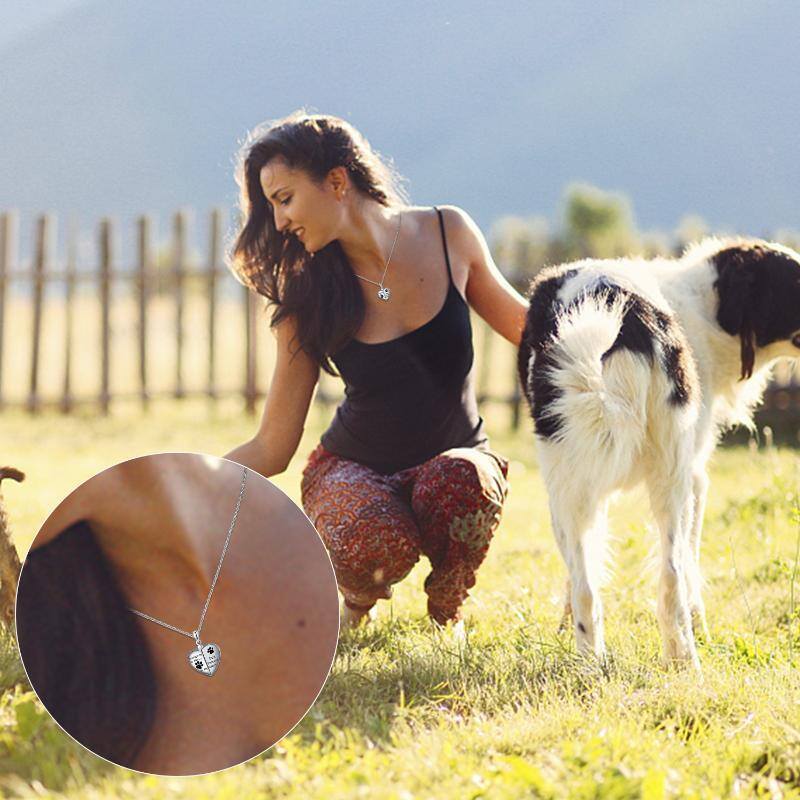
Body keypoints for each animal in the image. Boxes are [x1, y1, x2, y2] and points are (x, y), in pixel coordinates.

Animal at [520, 239, 800, 668]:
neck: (708, 308)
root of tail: (629, 314)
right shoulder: (694, 476)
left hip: (576, 484)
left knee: (604, 583)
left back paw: (602, 664)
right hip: (656, 477)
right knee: (667, 573)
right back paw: (681, 659)